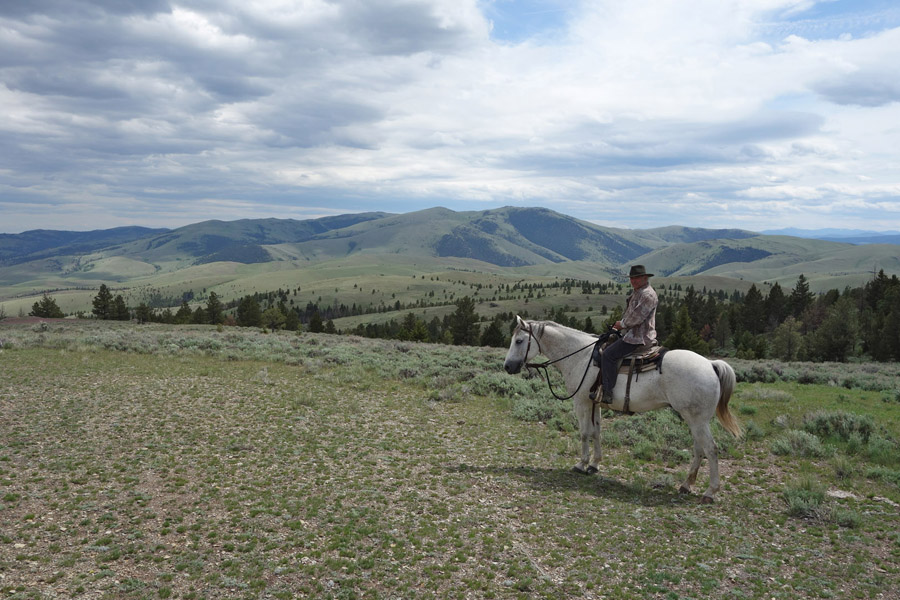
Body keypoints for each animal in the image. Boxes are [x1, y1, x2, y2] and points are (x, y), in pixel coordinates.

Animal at [503, 316, 741, 503]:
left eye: (519, 340)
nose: (507, 367)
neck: (581, 357)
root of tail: (711, 364)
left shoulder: (582, 402)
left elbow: (584, 433)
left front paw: (581, 464)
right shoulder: (596, 403)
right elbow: (597, 432)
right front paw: (594, 465)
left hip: (697, 419)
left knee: (711, 449)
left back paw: (710, 492)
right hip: (692, 418)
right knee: (699, 449)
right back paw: (686, 485)